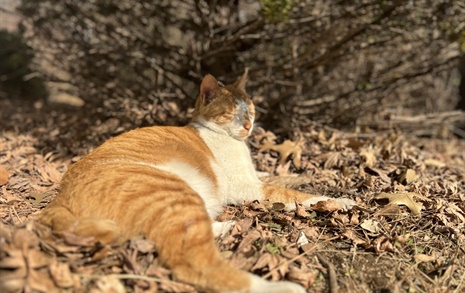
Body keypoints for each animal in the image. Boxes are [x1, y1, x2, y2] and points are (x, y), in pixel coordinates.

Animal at [40, 70, 354, 292]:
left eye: (251, 109)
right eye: (233, 113)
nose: (249, 124)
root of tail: (59, 199)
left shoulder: (255, 178)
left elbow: (281, 177)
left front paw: (302, 174)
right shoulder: (248, 188)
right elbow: (295, 194)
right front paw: (339, 200)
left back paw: (228, 226)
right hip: (174, 192)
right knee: (198, 264)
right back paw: (283, 287)